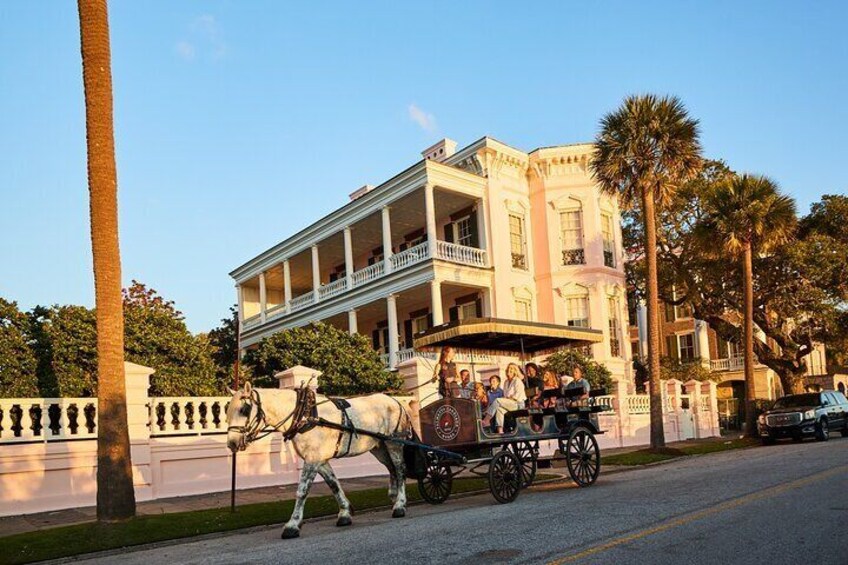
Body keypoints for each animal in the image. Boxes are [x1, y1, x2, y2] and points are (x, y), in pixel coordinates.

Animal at [224, 384, 412, 536]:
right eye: (227, 412)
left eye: (244, 409)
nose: (232, 443)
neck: (304, 415)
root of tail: (396, 401)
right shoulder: (320, 460)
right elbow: (333, 484)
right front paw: (345, 513)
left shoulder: (312, 459)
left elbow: (302, 491)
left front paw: (292, 525)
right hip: (379, 447)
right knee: (391, 468)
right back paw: (393, 496)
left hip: (394, 442)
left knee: (400, 469)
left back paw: (400, 505)